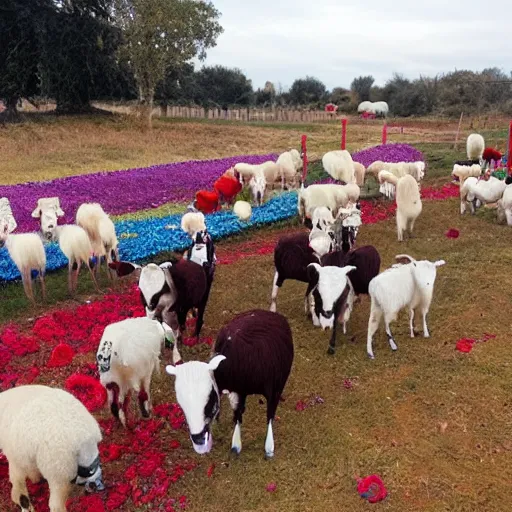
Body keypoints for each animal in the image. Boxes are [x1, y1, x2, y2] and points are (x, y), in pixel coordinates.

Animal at [164, 310, 292, 458]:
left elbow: (268, 415)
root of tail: (267, 312)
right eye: (181, 405)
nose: (198, 439)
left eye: (209, 400)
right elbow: (236, 413)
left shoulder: (272, 389)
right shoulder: (234, 390)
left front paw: (268, 448)